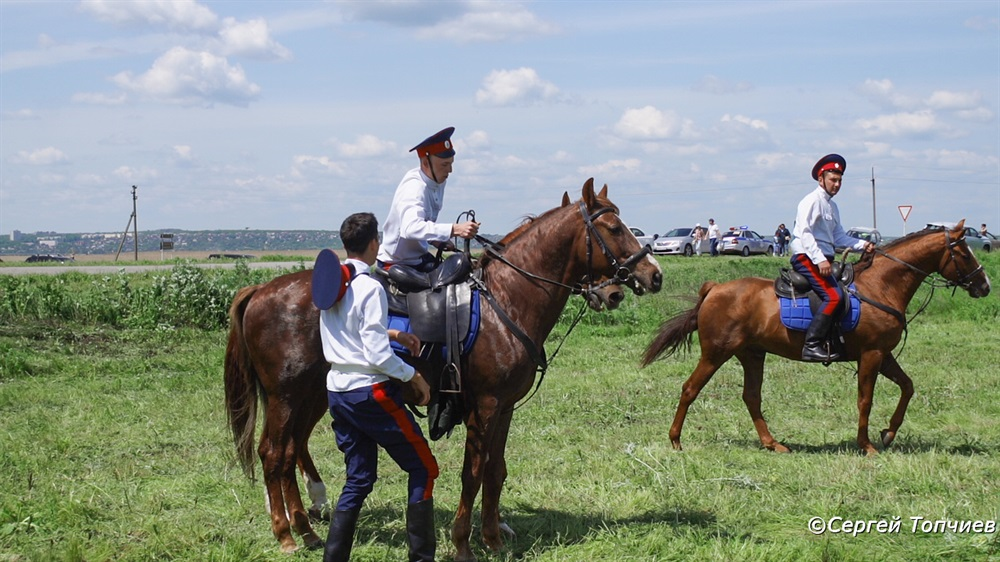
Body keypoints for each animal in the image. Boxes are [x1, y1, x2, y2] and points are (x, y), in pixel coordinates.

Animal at [227, 178, 664, 556]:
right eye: (614, 228)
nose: (653, 275)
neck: (506, 300)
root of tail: (260, 290)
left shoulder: (505, 407)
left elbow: (496, 471)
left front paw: (493, 537)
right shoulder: (484, 407)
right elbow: (473, 472)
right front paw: (463, 542)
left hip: (311, 395)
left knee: (290, 450)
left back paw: (305, 528)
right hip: (287, 397)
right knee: (274, 454)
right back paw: (286, 533)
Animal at [644, 220, 988, 456]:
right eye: (964, 253)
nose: (984, 286)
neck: (881, 285)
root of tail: (715, 288)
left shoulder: (883, 354)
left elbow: (908, 387)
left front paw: (889, 433)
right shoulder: (872, 355)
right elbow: (865, 399)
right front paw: (866, 445)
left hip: (752, 354)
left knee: (751, 397)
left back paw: (773, 443)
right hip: (716, 353)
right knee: (690, 389)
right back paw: (675, 440)